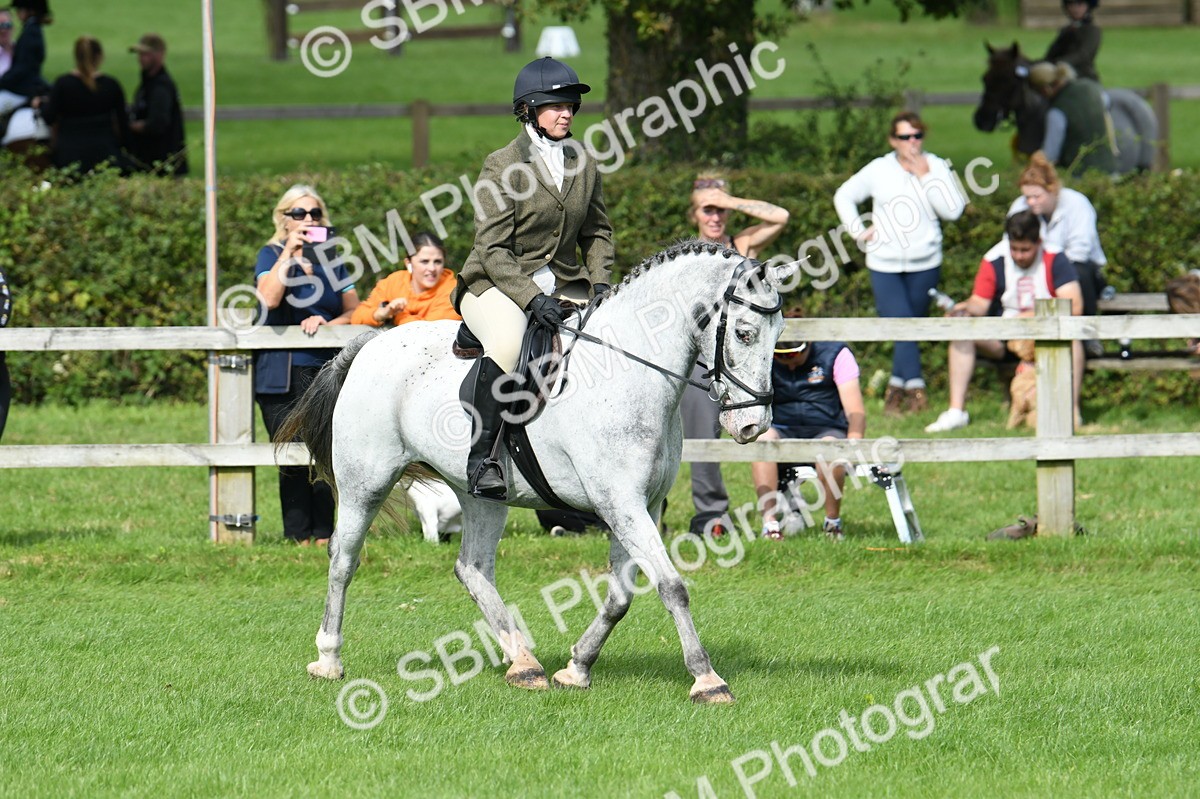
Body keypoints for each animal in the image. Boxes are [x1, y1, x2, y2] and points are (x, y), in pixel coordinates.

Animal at [278, 241, 796, 703]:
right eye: (744, 333)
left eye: (778, 336)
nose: (752, 425)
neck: (626, 372)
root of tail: (372, 343)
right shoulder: (622, 504)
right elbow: (671, 586)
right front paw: (707, 680)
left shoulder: (639, 506)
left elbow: (620, 595)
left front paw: (577, 667)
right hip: (365, 483)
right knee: (343, 560)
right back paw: (328, 659)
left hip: (481, 495)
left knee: (472, 568)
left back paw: (524, 664)